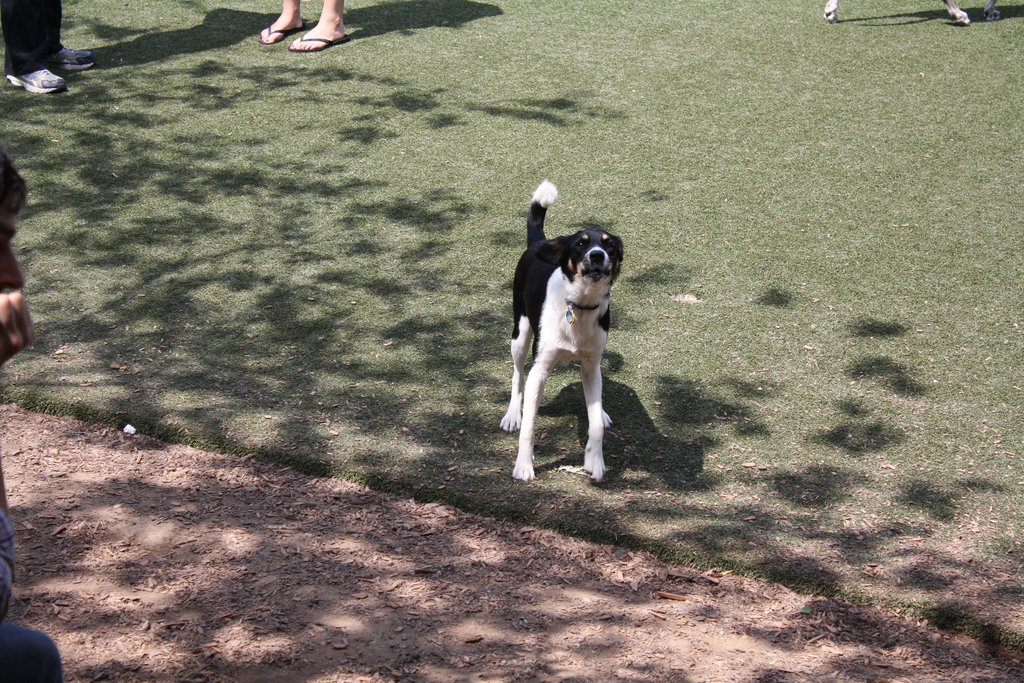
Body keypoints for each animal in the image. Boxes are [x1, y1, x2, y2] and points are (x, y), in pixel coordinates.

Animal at [497, 181, 618, 481]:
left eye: (610, 245)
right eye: (580, 244)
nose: (597, 255)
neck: (580, 306)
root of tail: (538, 244)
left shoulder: (591, 365)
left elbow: (595, 423)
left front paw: (594, 461)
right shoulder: (540, 369)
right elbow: (529, 426)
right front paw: (524, 465)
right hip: (520, 332)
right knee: (517, 374)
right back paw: (512, 414)